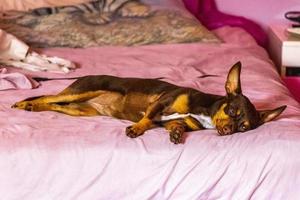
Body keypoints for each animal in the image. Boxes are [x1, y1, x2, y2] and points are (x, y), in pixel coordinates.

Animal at [11, 61, 286, 143]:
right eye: (231, 110)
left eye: (244, 127)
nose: (228, 130)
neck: (205, 112)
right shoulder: (160, 105)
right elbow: (147, 119)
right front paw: (136, 129)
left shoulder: (172, 120)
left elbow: (175, 125)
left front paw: (176, 134)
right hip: (79, 92)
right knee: (49, 96)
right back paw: (24, 104)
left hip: (81, 111)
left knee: (53, 105)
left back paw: (33, 107)